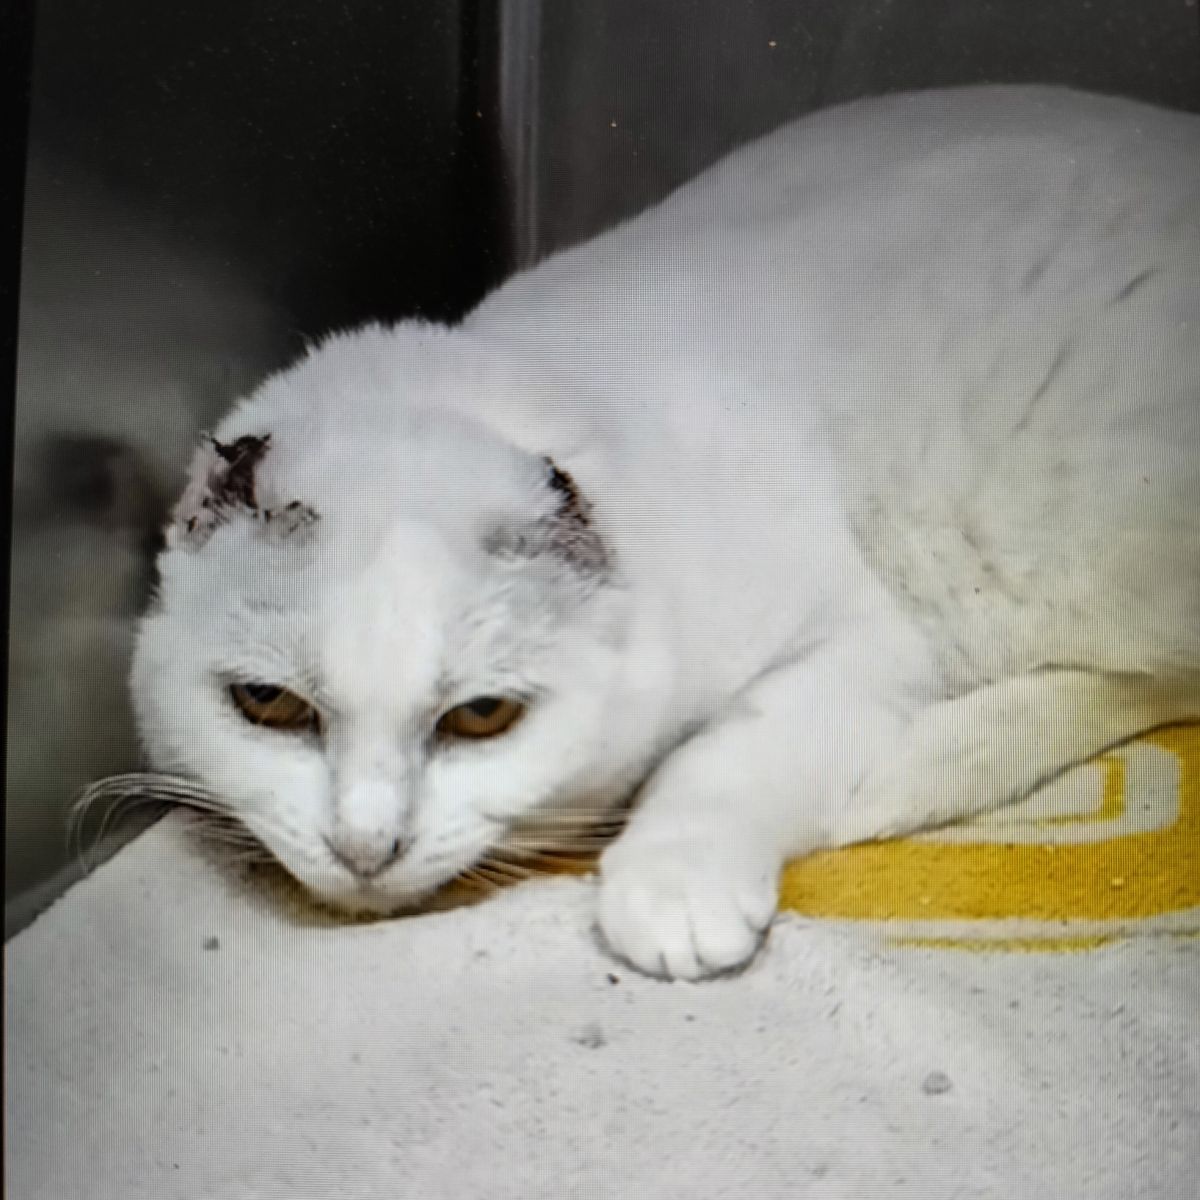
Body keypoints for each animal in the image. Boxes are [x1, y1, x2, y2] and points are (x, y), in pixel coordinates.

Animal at [126, 85, 1200, 980]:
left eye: (482, 716)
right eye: (267, 703)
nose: (364, 850)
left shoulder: (867, 636)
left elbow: (729, 748)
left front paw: (674, 883)